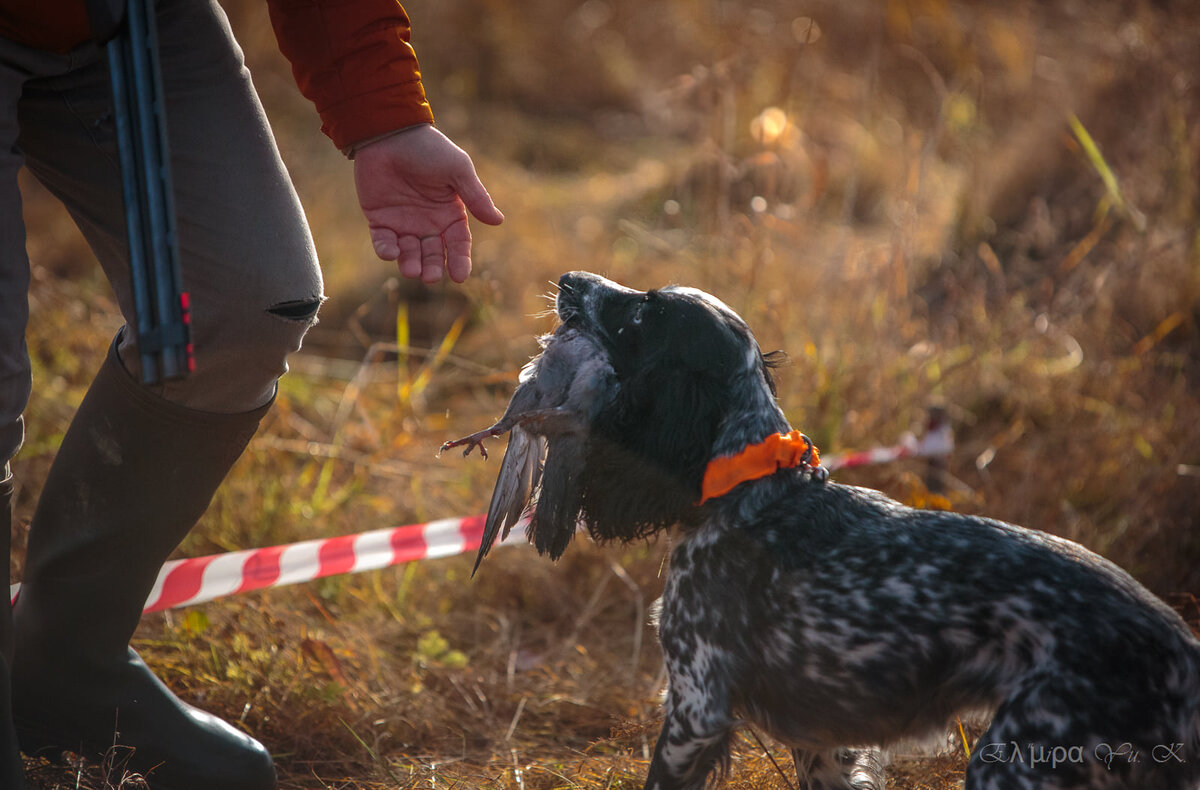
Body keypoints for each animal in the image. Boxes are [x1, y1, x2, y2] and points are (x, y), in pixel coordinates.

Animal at [444, 272, 1200, 787]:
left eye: (638, 314)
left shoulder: (696, 705)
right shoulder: (822, 741)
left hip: (1015, 758)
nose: (570, 280)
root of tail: (1180, 655)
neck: (751, 493)